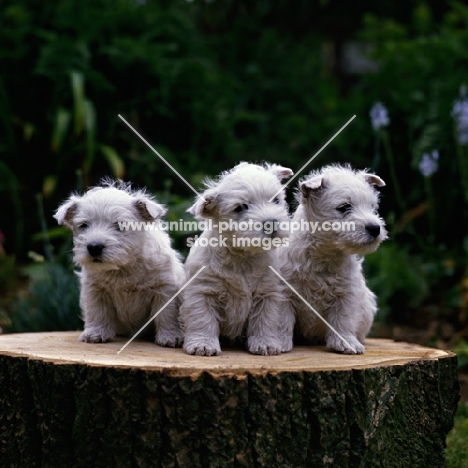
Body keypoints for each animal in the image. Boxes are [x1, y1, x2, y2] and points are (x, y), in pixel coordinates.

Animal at [54, 179, 185, 348]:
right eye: (84, 225)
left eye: (120, 226)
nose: (94, 247)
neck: (123, 268)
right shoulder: (95, 290)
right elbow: (97, 312)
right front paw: (95, 334)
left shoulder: (164, 287)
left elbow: (167, 314)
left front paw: (171, 337)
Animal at [179, 163, 292, 356]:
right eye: (240, 207)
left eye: (276, 200)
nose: (271, 223)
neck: (243, 256)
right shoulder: (202, 291)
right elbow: (203, 320)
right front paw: (203, 345)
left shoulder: (267, 293)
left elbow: (265, 320)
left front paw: (266, 344)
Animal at [280, 165, 386, 354]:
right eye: (344, 207)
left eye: (373, 207)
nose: (375, 228)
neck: (324, 255)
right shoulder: (285, 292)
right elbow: (283, 319)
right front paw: (280, 343)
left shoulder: (346, 294)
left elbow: (342, 319)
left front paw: (346, 343)